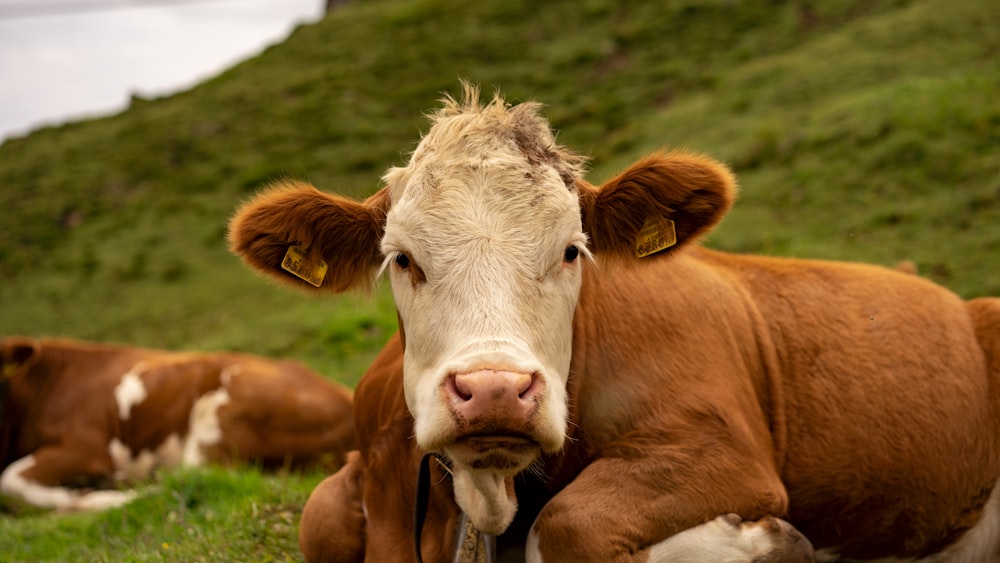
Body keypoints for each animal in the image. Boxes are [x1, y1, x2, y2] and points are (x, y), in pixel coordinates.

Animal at [227, 85, 1000, 563]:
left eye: (573, 250)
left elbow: (568, 523)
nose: (496, 390)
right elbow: (321, 518)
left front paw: (759, 541)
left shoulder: (719, 446)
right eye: (402, 258)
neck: (486, 501)